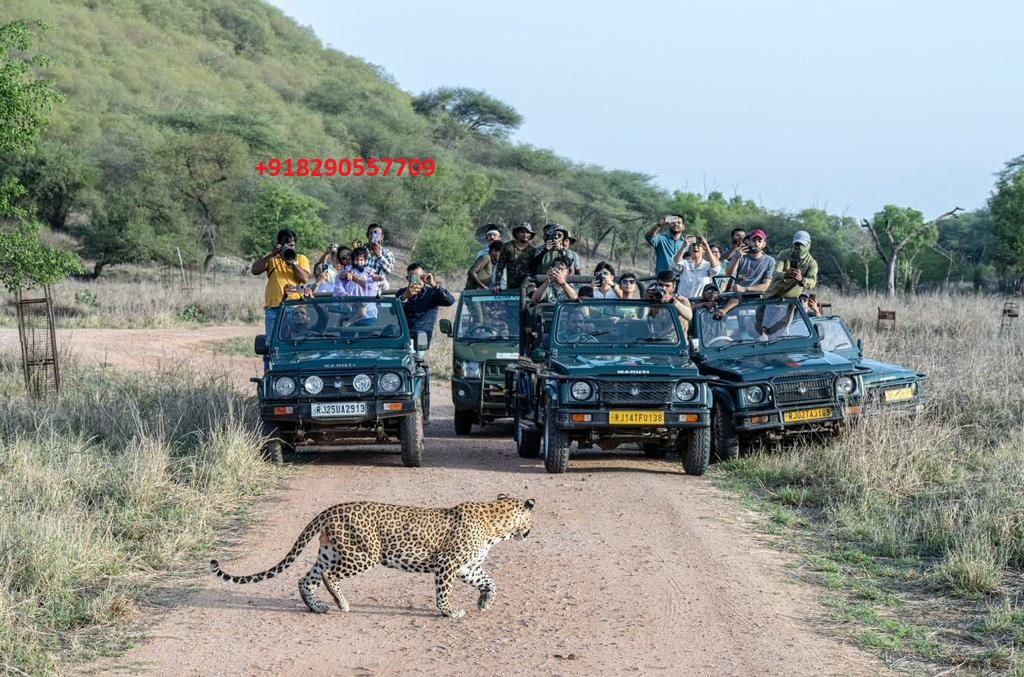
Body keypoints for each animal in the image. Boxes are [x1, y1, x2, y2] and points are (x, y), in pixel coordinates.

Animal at [209, 494, 535, 618]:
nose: (531, 532)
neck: (497, 526)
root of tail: (332, 509)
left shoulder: (468, 567)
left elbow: (490, 582)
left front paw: (484, 603)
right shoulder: (448, 564)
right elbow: (443, 593)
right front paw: (449, 612)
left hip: (330, 551)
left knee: (305, 579)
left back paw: (318, 607)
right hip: (364, 554)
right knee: (328, 576)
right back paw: (340, 603)